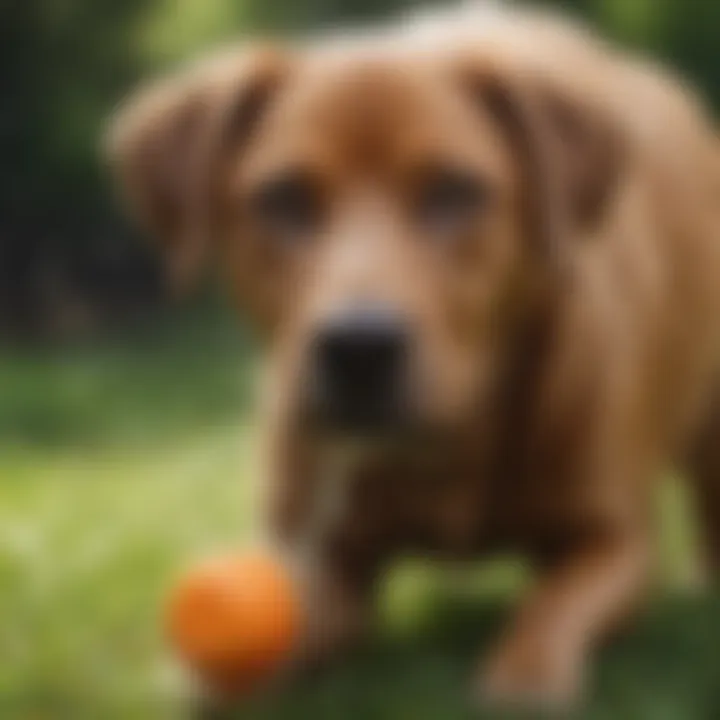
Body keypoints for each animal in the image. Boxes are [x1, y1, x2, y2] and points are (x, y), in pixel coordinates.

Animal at [105, 1, 720, 708]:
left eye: (453, 191)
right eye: (284, 198)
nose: (359, 348)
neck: (454, 441)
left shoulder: (616, 540)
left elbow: (552, 604)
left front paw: (525, 673)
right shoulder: (320, 550)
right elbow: (300, 616)